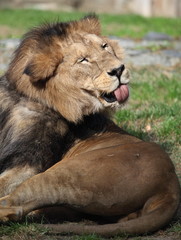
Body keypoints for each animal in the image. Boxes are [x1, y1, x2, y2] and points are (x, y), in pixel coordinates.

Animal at [0, 15, 180, 236]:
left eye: (105, 46)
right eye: (83, 60)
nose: (119, 69)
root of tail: (170, 185)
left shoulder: (29, 163)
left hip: (66, 175)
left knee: (14, 206)